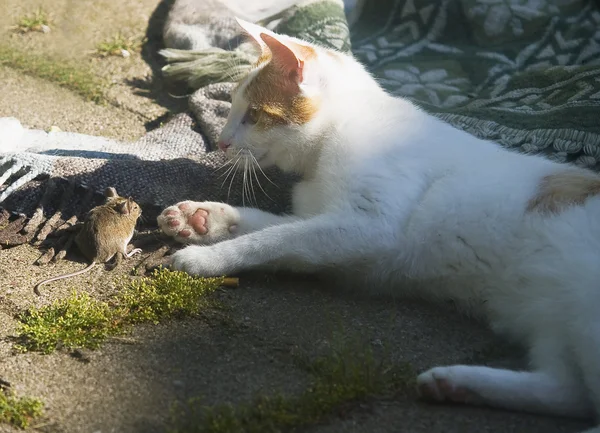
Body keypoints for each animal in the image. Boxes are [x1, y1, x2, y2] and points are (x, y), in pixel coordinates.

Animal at [157, 18, 600, 430]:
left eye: (253, 115)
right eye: (230, 106)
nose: (223, 142)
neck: (327, 146)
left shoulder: (368, 226)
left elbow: (274, 240)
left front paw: (208, 257)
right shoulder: (320, 217)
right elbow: (269, 226)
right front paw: (201, 218)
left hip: (584, 309)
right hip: (550, 322)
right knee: (568, 391)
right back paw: (455, 384)